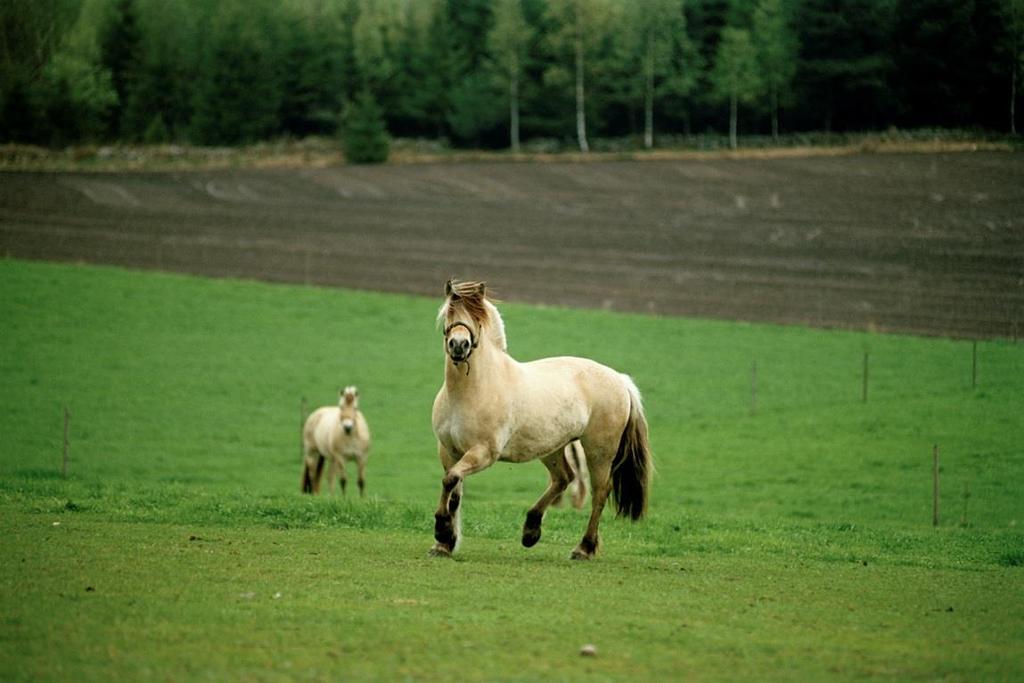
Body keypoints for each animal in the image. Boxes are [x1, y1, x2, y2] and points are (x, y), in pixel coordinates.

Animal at [428, 280, 651, 557]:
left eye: (477, 319)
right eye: (449, 313)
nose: (459, 345)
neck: (471, 391)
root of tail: (620, 380)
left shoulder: (483, 453)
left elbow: (450, 480)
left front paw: (442, 531)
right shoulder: (449, 450)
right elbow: (454, 489)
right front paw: (444, 542)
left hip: (599, 451)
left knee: (600, 492)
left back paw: (583, 548)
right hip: (552, 448)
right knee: (563, 478)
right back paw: (531, 531)